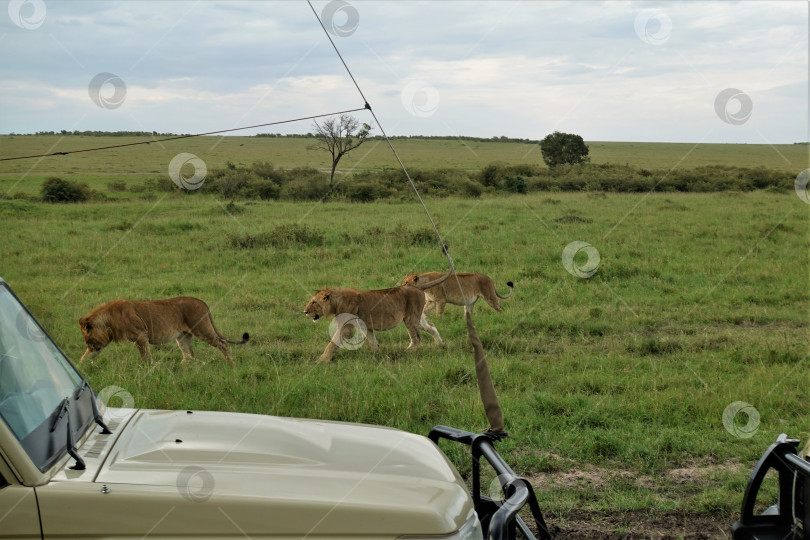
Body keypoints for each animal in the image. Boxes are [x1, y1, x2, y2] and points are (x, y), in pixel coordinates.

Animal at [81, 298, 249, 364]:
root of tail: (201, 301)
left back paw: (231, 364)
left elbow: (146, 357)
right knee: (188, 355)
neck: (108, 319)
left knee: (222, 343)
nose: (91, 346)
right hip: (183, 336)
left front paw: (150, 368)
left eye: (88, 339)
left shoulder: (141, 335)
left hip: (202, 329)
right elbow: (85, 357)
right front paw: (81, 368)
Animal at [304, 270, 454, 362]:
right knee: (432, 327)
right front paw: (375, 355)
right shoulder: (366, 325)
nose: (304, 312)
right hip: (418, 318)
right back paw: (441, 345)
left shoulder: (347, 327)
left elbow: (332, 343)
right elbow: (373, 341)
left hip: (410, 318)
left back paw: (405, 352)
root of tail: (417, 287)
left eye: (314, 302)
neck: (336, 301)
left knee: (416, 338)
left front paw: (321, 360)